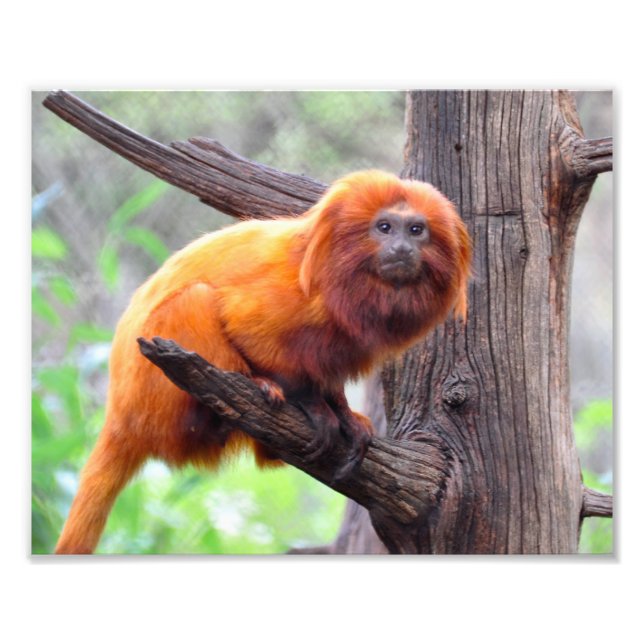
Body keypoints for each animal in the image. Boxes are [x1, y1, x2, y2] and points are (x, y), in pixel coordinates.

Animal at [54, 169, 471, 554]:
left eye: (416, 230)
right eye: (384, 228)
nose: (401, 247)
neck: (348, 280)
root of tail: (119, 416)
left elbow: (329, 375)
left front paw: (344, 414)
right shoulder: (285, 296)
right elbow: (253, 335)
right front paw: (313, 407)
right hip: (155, 394)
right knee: (196, 298)